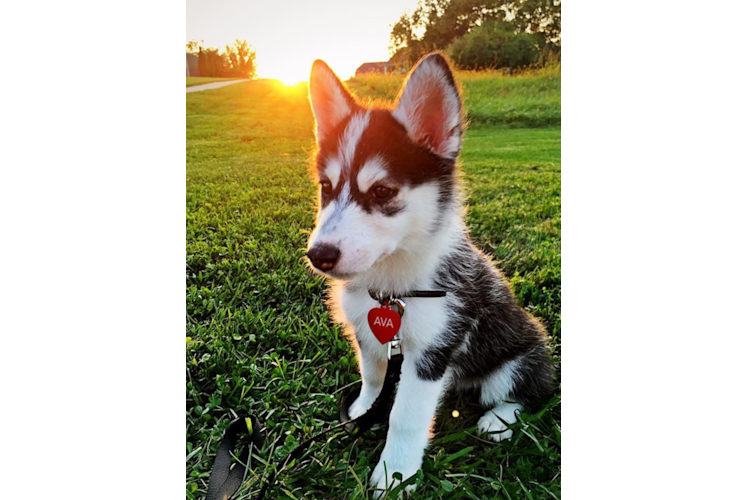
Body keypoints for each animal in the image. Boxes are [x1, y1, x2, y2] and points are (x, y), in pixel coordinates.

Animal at [304, 52, 556, 494]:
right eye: (326, 188)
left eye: (382, 191)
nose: (318, 255)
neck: (391, 287)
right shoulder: (370, 336)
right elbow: (372, 378)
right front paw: (363, 411)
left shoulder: (431, 351)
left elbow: (405, 418)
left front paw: (394, 474)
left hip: (518, 358)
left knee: (527, 391)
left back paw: (498, 419)